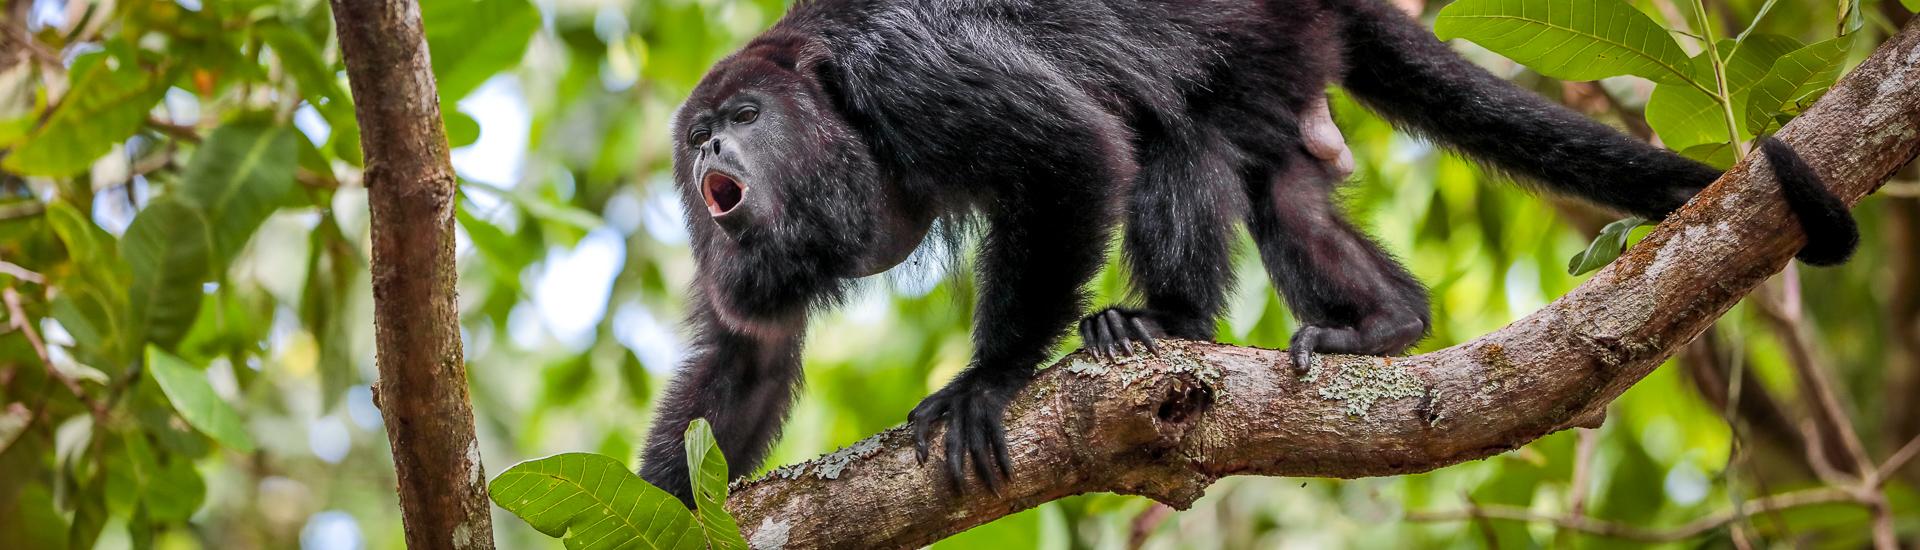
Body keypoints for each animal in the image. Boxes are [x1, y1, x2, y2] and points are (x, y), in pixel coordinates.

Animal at [641, 0, 1858, 503]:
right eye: (698, 136)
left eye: (742, 115)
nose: (710, 149)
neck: (823, 99)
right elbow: (747, 355)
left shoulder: (906, 66)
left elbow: (1072, 152)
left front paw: (988, 380)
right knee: (1279, 187)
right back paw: (1389, 320)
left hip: (1267, 36)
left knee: (1172, 132)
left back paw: (1163, 324)